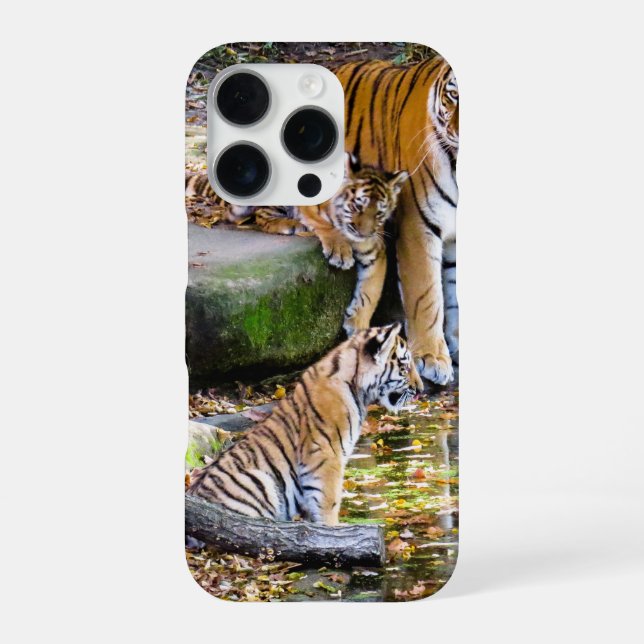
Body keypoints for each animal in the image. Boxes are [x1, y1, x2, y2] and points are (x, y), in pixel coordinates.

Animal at [187, 323, 423, 525]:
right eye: (404, 366)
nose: (421, 389)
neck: (357, 387)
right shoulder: (326, 456)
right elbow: (329, 503)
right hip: (259, 481)